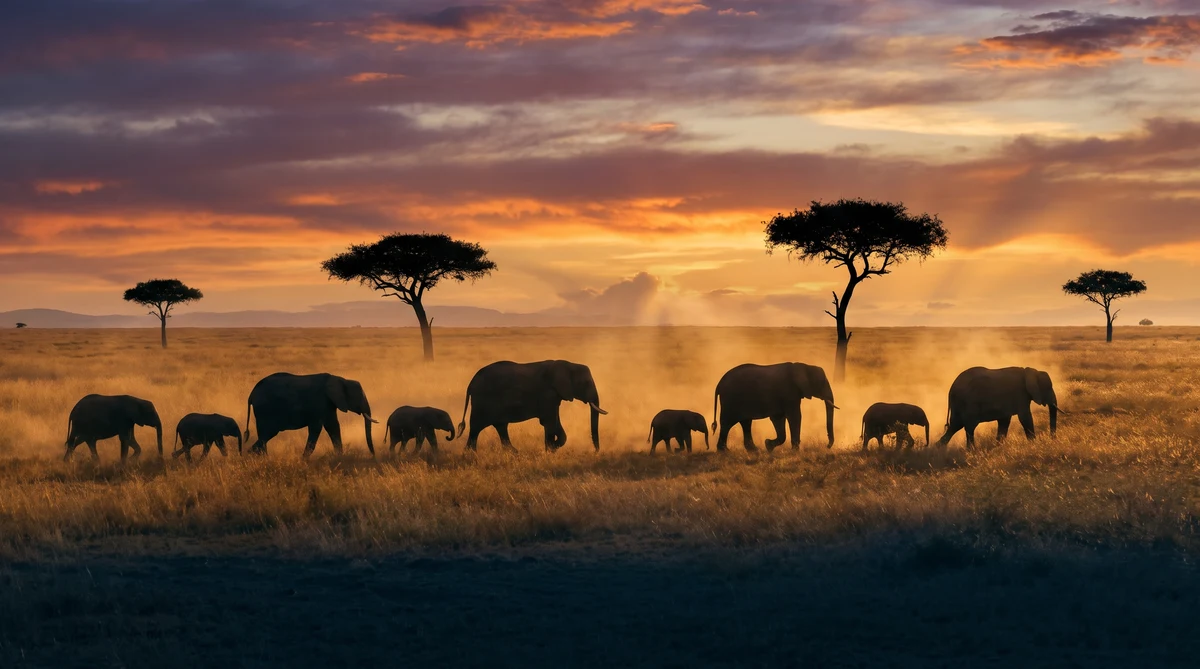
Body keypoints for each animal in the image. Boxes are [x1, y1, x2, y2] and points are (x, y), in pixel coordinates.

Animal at [244, 372, 377, 458]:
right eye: (359, 397)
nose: (373, 455)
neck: (341, 379)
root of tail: (251, 394)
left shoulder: (329, 404)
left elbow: (333, 426)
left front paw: (340, 457)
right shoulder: (319, 402)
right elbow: (317, 428)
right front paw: (304, 459)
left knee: (264, 435)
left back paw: (257, 457)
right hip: (265, 410)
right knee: (267, 433)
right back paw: (258, 457)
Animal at [458, 360, 607, 452]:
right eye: (585, 383)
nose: (595, 452)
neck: (568, 364)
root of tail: (470, 383)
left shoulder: (554, 397)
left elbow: (555, 421)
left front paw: (552, 447)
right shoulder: (547, 394)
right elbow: (549, 421)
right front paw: (550, 451)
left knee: (500, 426)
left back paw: (513, 452)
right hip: (482, 401)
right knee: (476, 427)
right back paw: (471, 454)